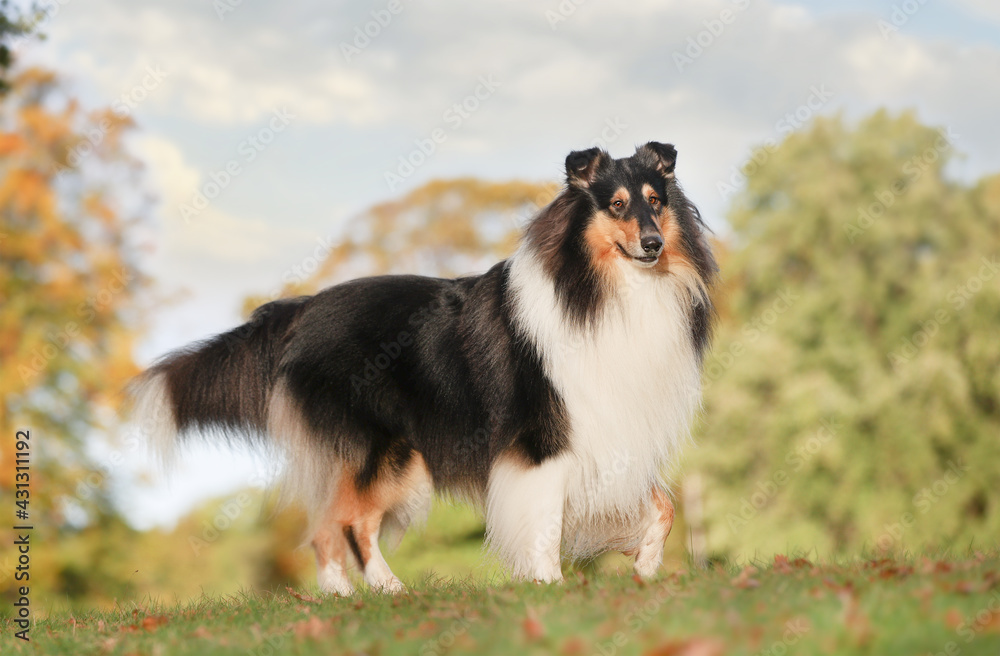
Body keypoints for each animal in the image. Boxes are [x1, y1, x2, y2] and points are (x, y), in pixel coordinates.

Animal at [133, 142, 716, 596]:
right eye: (616, 205)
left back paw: (354, 596)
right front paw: (548, 583)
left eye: (656, 202)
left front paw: (645, 569)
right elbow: (546, 520)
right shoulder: (543, 438)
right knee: (347, 526)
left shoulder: (611, 431)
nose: (653, 244)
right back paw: (379, 591)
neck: (605, 290)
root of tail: (303, 308)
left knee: (334, 528)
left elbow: (663, 507)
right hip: (382, 451)